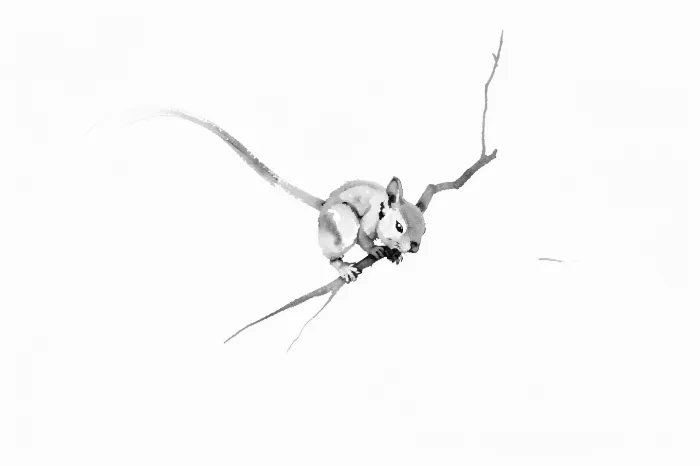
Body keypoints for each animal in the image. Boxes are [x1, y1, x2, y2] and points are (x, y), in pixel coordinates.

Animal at [139, 108, 426, 282]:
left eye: (425, 229)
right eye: (399, 226)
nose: (415, 248)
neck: (382, 208)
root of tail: (325, 205)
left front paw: (396, 253)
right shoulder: (366, 224)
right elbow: (365, 241)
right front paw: (378, 250)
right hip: (342, 223)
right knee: (331, 255)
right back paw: (343, 267)